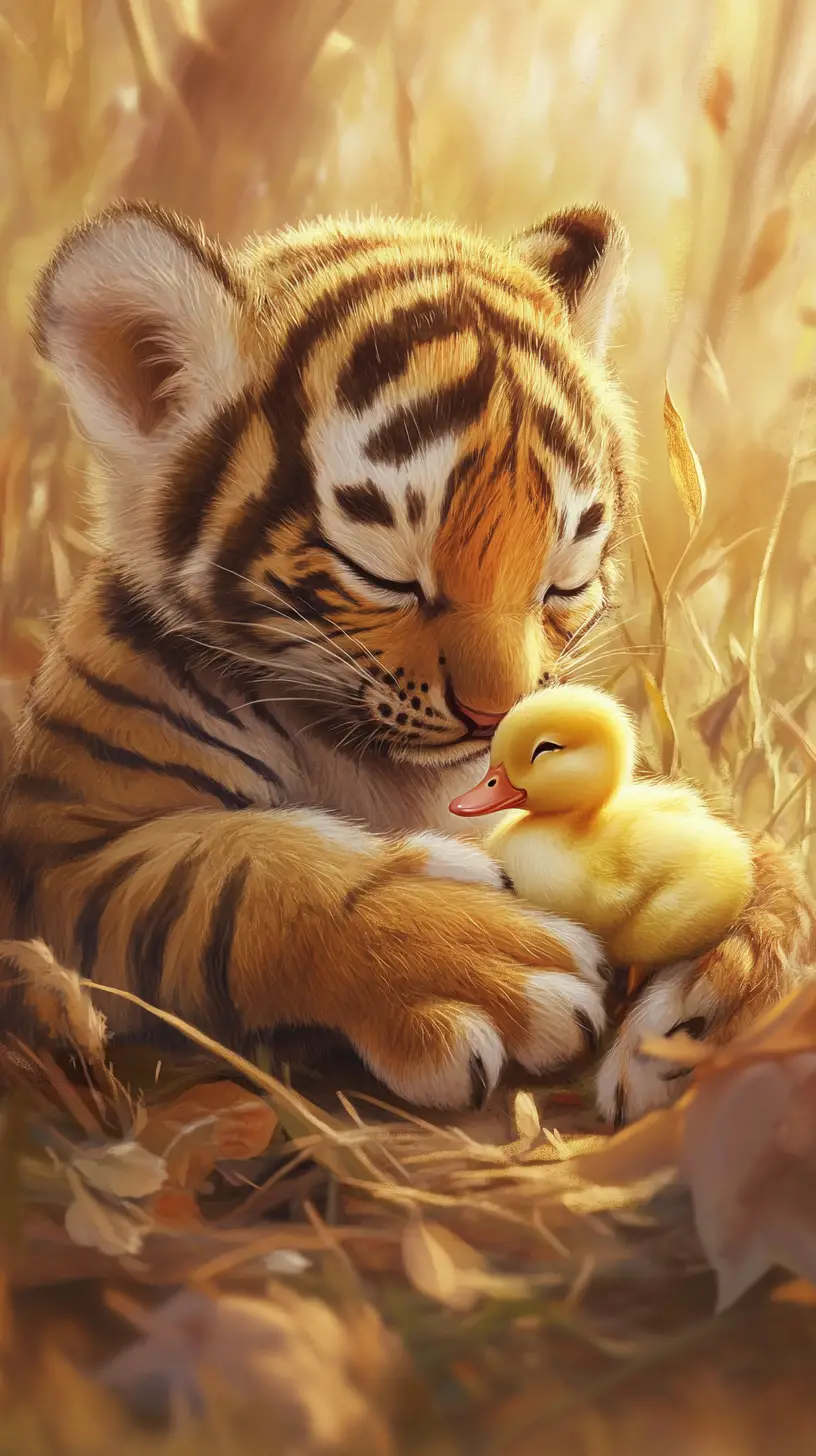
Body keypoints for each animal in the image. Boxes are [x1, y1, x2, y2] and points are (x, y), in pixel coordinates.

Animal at [1, 200, 813, 1125]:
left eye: (561, 581)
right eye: (387, 575)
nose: (498, 722)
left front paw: (722, 998)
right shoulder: (59, 852)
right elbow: (232, 882)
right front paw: (492, 965)